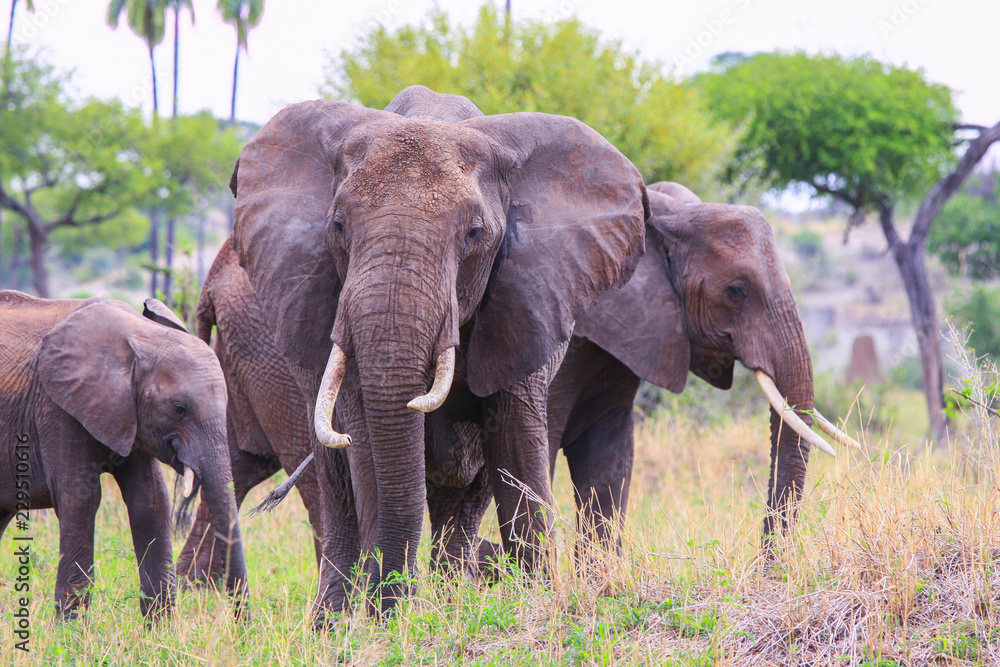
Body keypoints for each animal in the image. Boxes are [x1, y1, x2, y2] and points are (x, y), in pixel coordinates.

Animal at [0, 291, 248, 621]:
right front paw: (71, 630)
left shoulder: (130, 415)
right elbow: (81, 498)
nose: (244, 626)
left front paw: (160, 631)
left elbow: (151, 501)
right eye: (179, 409)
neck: (139, 337)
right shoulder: (56, 407)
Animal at [230, 85, 648, 618]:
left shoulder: (526, 300)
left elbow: (515, 443)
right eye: (338, 226)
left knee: (466, 495)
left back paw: (450, 604)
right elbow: (366, 447)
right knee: (339, 485)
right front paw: (387, 621)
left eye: (475, 234)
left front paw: (536, 605)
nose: (393, 602)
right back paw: (334, 623)